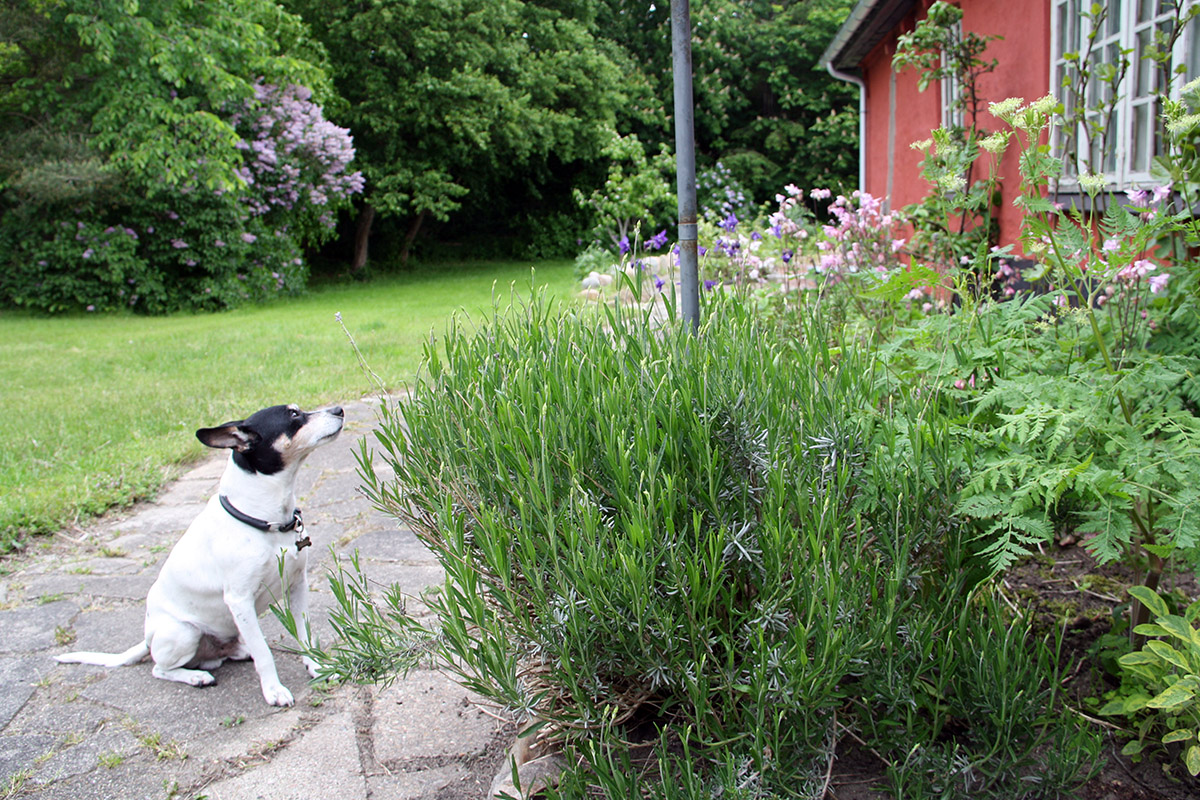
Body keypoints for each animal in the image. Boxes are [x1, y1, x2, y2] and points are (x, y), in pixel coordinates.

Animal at [57, 407, 345, 705]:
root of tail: (148, 639)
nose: (338, 409)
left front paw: (317, 667)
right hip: (184, 632)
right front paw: (274, 690)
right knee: (160, 669)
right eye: (294, 415)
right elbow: (264, 654)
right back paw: (196, 677)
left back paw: (235, 652)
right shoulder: (240, 601)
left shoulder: (298, 584)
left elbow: (306, 636)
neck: (267, 522)